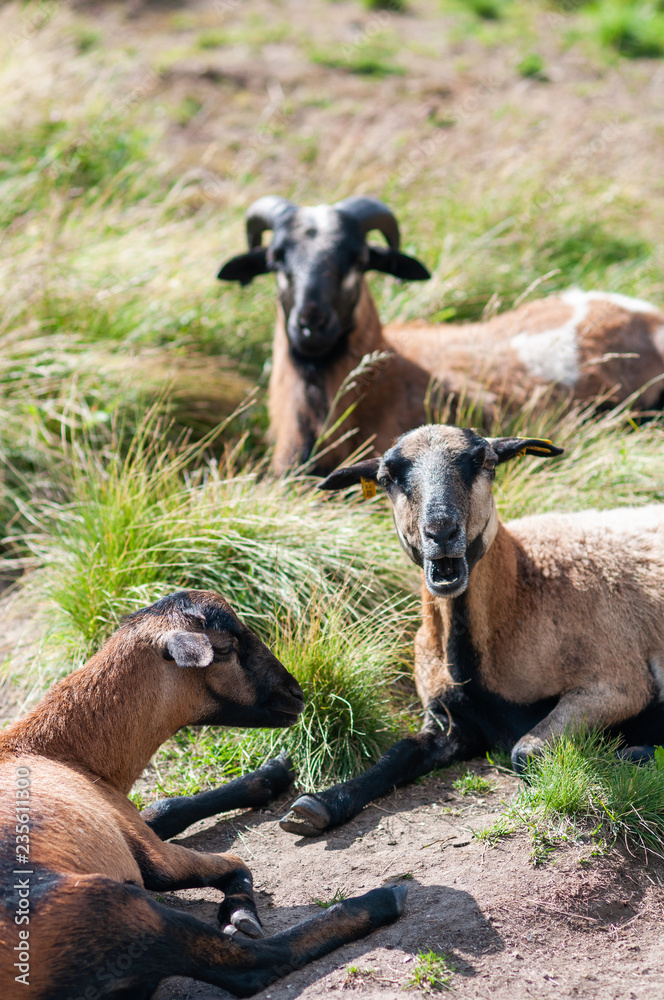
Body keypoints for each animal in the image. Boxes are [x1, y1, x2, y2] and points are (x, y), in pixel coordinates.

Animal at [0, 590, 406, 998]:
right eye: (225, 649)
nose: (296, 694)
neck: (61, 751)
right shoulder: (145, 848)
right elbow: (235, 862)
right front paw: (241, 913)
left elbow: (167, 807)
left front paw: (274, 772)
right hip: (114, 907)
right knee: (250, 965)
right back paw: (383, 899)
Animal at [279, 428, 664, 837]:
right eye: (386, 478)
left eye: (486, 462)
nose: (441, 532)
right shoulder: (450, 718)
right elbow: (399, 752)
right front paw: (318, 804)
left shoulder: (618, 683)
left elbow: (525, 752)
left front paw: (633, 754)